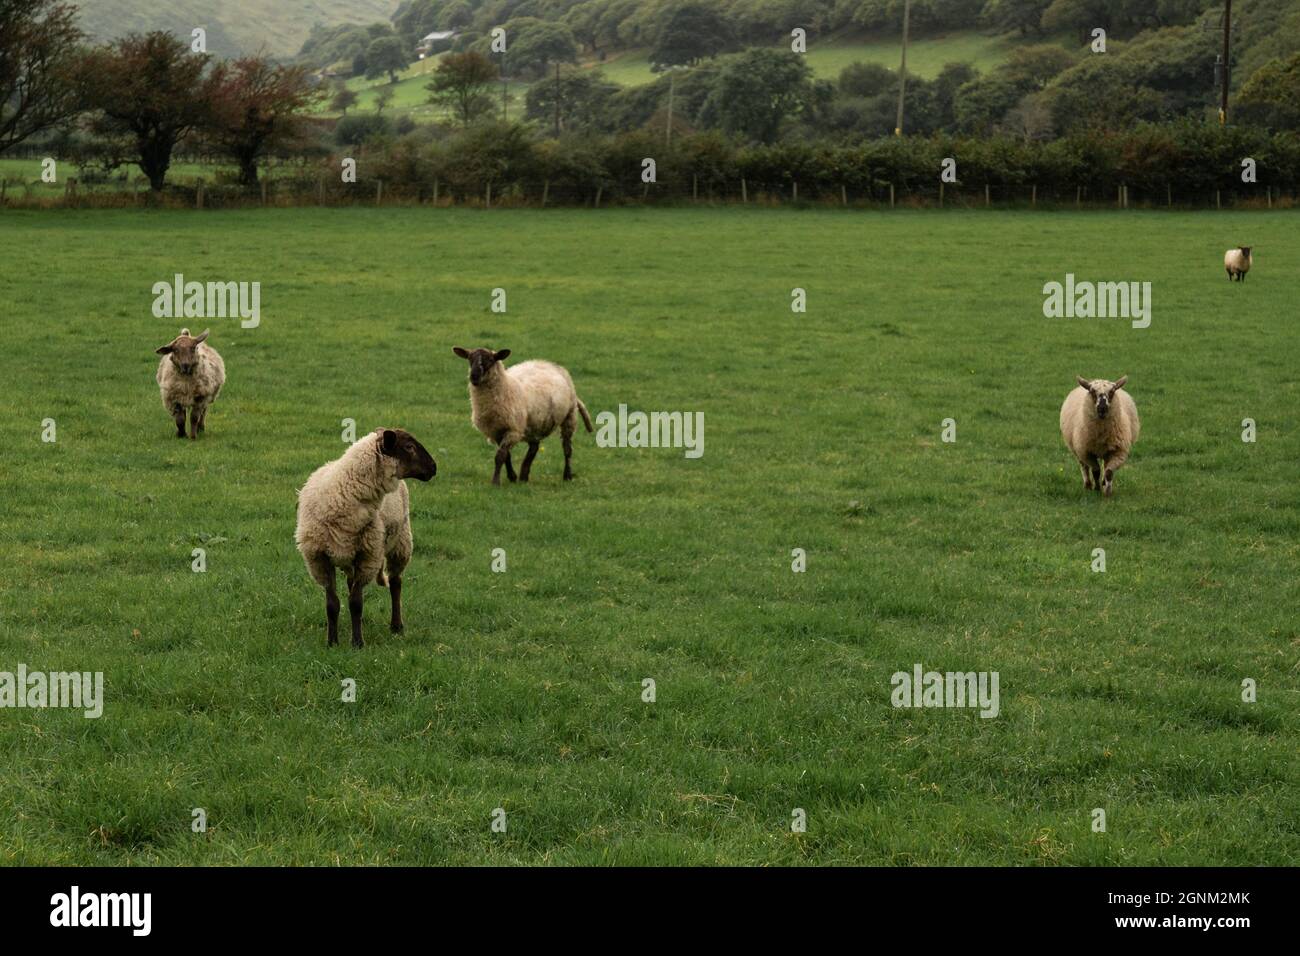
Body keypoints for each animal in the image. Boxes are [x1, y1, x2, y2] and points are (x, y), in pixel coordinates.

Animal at [294, 428, 436, 647]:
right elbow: (332, 604)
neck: (343, 491)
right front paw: (332, 642)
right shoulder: (319, 559)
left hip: (401, 542)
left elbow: (356, 603)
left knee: (396, 583)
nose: (434, 468)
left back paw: (397, 626)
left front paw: (357, 643)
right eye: (409, 446)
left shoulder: (367, 556)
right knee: (352, 583)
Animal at [452, 347, 593, 484]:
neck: (506, 388)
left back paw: (567, 475)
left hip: (569, 416)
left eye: (490, 360)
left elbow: (500, 456)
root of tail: (548, 363)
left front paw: (496, 481)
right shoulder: (497, 431)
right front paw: (512, 477)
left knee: (567, 448)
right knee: (534, 448)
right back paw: (524, 476)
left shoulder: (513, 429)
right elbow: (506, 456)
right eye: (469, 359)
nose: (474, 376)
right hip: (536, 423)